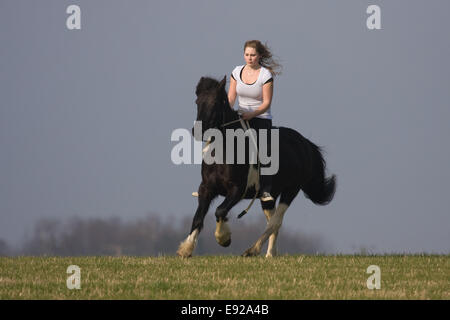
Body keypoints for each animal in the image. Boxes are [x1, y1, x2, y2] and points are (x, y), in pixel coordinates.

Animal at [178, 75, 336, 258]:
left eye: (216, 102)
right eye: (197, 101)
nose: (197, 131)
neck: (224, 150)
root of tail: (304, 143)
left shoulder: (237, 190)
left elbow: (220, 211)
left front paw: (223, 238)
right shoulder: (206, 188)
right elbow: (198, 217)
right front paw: (186, 248)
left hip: (291, 190)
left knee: (275, 222)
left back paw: (252, 250)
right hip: (270, 195)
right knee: (273, 221)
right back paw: (270, 254)